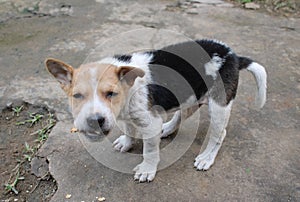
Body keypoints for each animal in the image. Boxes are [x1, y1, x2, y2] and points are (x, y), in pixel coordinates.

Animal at [45, 38, 268, 182]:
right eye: (77, 96)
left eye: (111, 93)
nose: (95, 121)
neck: (128, 90)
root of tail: (233, 55)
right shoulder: (128, 115)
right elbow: (129, 129)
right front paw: (126, 142)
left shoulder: (149, 122)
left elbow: (150, 150)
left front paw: (147, 170)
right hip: (192, 94)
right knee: (182, 114)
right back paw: (167, 128)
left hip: (218, 105)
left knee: (219, 133)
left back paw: (206, 158)